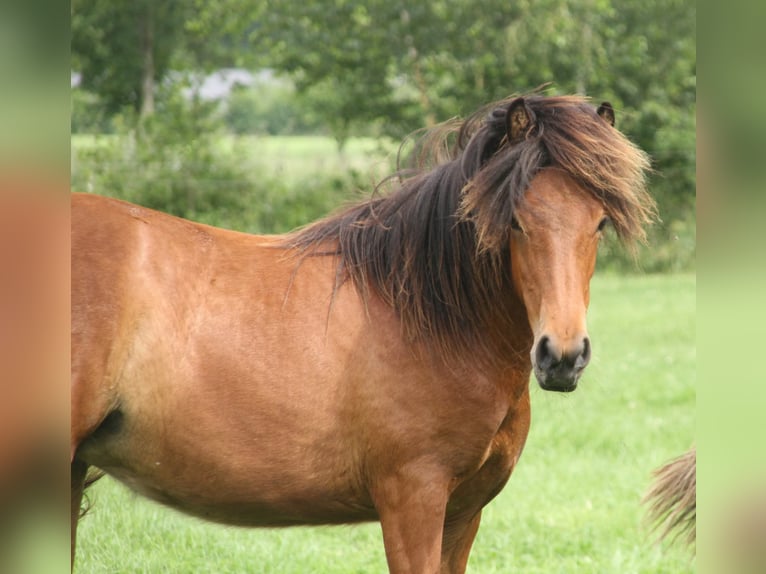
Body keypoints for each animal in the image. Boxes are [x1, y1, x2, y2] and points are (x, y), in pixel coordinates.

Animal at [71, 94, 655, 573]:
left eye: (599, 223)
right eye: (514, 220)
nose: (562, 356)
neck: (430, 319)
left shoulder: (463, 513)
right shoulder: (412, 499)